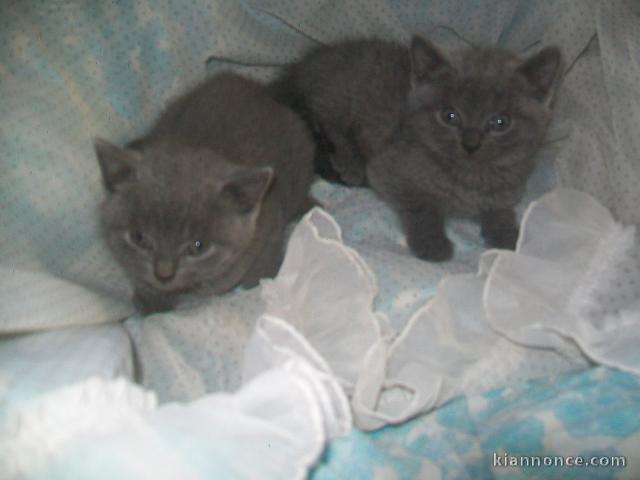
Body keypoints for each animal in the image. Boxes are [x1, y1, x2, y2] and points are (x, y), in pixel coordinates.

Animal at [95, 70, 316, 312]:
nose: (164, 273)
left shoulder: (269, 229)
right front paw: (151, 301)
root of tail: (262, 91)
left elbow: (262, 268)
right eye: (138, 237)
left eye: (198, 247)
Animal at [276, 36, 560, 262]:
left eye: (500, 122)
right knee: (329, 123)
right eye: (450, 116)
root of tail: (298, 69)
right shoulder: (388, 168)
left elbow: (499, 209)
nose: (471, 144)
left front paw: (511, 236)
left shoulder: (509, 187)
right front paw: (432, 244)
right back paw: (351, 162)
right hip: (338, 93)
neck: (470, 178)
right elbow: (421, 205)